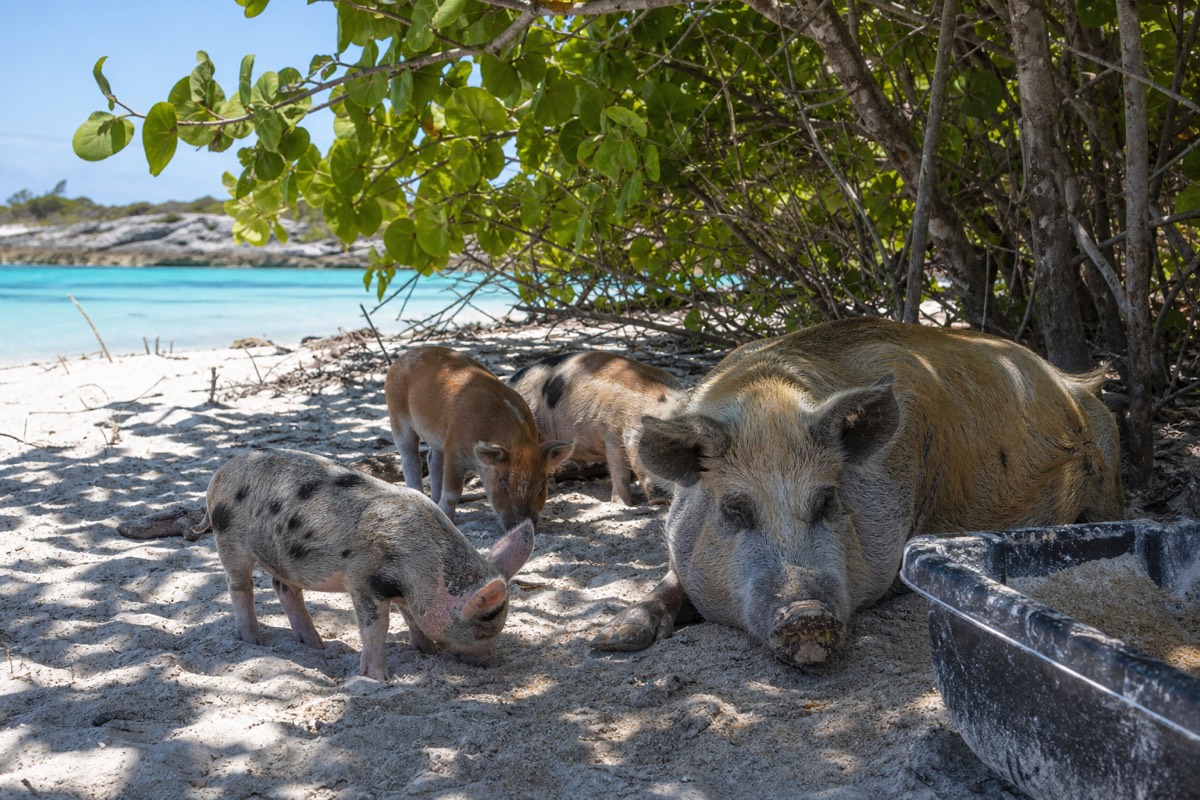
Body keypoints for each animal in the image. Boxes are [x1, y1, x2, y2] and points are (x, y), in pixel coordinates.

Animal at [198, 447, 536, 680]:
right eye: (485, 625)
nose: (492, 663)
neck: (427, 571)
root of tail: (220, 472)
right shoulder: (362, 579)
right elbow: (376, 627)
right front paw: (379, 678)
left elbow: (412, 619)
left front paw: (427, 651)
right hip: (229, 538)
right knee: (240, 586)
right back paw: (254, 641)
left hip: (284, 557)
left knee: (282, 586)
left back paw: (316, 646)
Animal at [385, 345, 574, 530]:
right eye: (503, 485)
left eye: (542, 486)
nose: (524, 524)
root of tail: (403, 357)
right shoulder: (454, 450)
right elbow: (453, 492)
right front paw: (448, 518)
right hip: (397, 415)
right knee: (410, 458)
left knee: (433, 459)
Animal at [590, 316, 1124, 666]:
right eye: (734, 509)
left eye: (826, 500)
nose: (805, 614)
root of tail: (1079, 381)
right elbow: (670, 580)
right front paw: (610, 640)